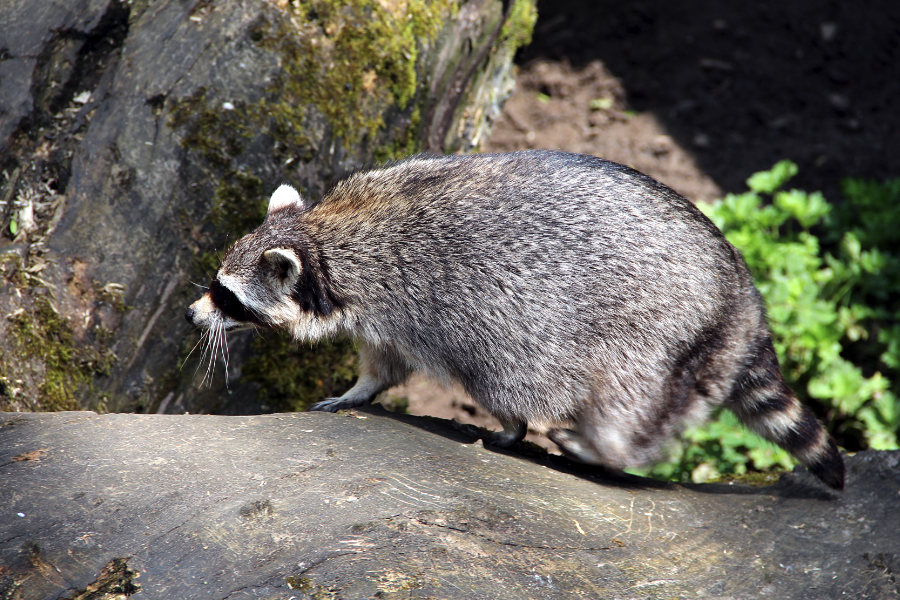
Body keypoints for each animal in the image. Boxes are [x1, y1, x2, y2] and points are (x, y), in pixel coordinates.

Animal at [186, 149, 848, 488]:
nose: (193, 315)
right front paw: (358, 390)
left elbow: (498, 376)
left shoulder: (427, 304)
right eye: (217, 285)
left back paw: (603, 444)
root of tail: (741, 297)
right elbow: (384, 364)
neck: (325, 241)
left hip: (654, 332)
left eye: (228, 297)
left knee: (622, 401)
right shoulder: (381, 313)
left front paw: (510, 427)